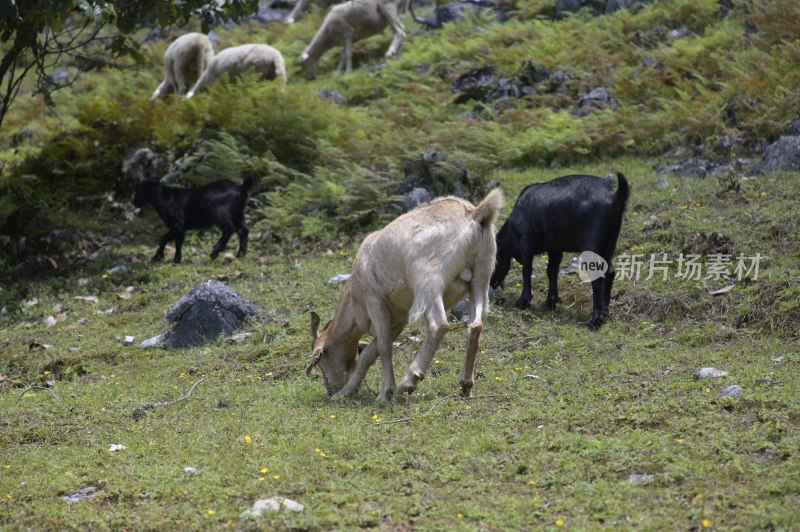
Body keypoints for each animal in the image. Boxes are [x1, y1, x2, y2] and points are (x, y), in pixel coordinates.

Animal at [308, 187, 506, 400]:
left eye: (321, 360)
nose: (331, 389)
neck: (354, 300)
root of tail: (475, 214)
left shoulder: (375, 301)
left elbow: (384, 347)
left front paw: (385, 393)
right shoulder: (397, 320)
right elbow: (369, 353)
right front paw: (345, 392)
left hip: (427, 281)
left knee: (439, 325)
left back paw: (409, 381)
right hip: (481, 277)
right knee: (476, 325)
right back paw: (466, 385)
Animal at [488, 172, 632, 328]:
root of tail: (615, 197)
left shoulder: (525, 243)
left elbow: (527, 270)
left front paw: (523, 301)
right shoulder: (555, 248)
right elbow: (552, 271)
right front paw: (550, 302)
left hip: (591, 246)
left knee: (598, 277)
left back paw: (595, 319)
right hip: (609, 244)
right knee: (609, 272)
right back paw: (605, 311)